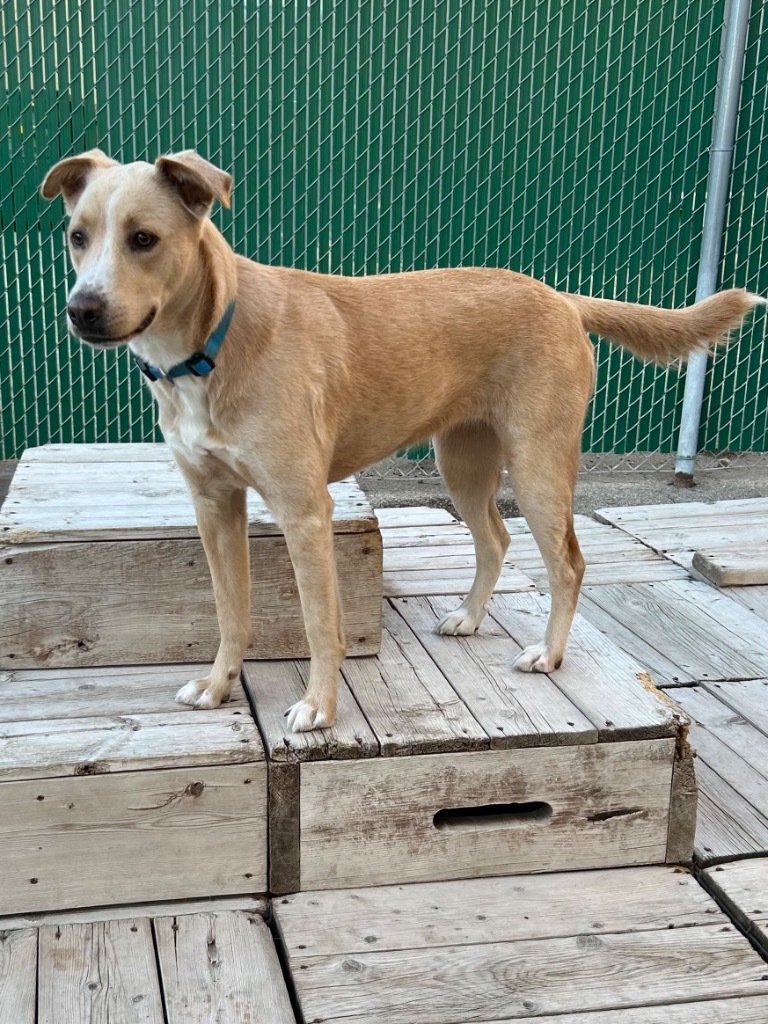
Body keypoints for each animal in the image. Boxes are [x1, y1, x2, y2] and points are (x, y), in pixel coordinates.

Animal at [40, 148, 757, 733]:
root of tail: (560, 297)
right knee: (496, 541)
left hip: (539, 465)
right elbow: (230, 611)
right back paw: (468, 617)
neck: (210, 344)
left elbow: (320, 623)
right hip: (462, 462)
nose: (81, 309)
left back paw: (549, 655)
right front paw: (219, 687)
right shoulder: (214, 507)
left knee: (568, 564)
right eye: (77, 237)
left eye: (143, 239)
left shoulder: (305, 512)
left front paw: (320, 709)